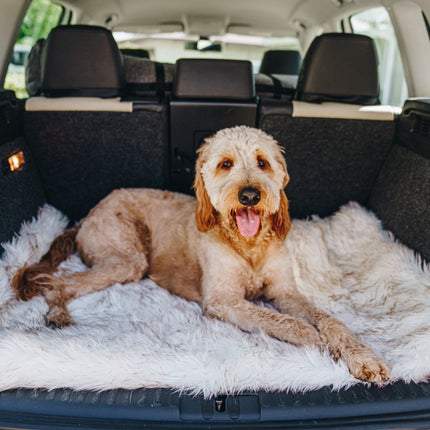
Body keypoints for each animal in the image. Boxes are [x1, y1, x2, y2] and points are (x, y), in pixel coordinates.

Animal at [13, 126, 390, 382]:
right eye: (225, 164)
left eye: (262, 162)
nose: (250, 195)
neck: (248, 245)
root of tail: (89, 213)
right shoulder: (223, 301)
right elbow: (285, 322)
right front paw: (314, 340)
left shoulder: (285, 292)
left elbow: (330, 320)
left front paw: (362, 356)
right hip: (128, 258)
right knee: (58, 282)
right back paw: (57, 310)